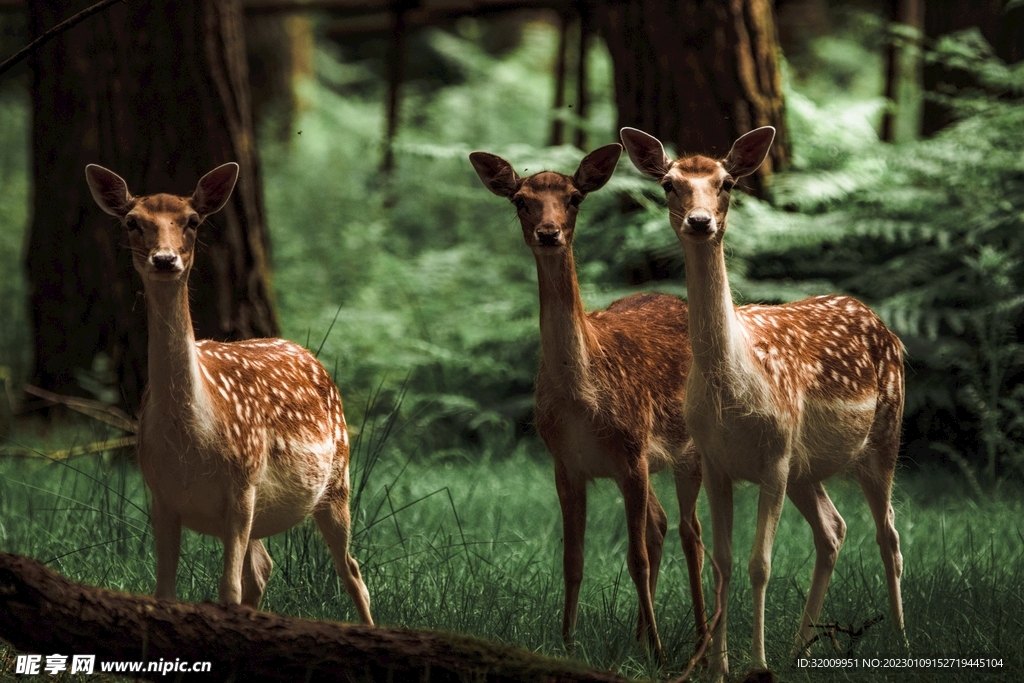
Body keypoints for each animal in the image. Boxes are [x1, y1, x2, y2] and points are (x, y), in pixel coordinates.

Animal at [84, 162, 373, 623]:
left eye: (192, 220)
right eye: (132, 221)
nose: (164, 259)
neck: (191, 438)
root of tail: (308, 354)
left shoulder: (242, 482)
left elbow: (228, 589)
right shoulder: (160, 495)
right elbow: (164, 591)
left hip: (338, 479)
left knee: (351, 570)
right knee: (265, 568)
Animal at [469, 144, 707, 659]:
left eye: (574, 197)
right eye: (520, 200)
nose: (548, 232)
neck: (582, 400)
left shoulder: (632, 453)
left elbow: (635, 558)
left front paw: (661, 652)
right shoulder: (567, 463)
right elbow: (572, 558)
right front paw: (566, 641)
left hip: (688, 449)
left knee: (690, 533)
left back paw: (697, 638)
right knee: (660, 525)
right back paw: (640, 637)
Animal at [619, 126, 906, 680]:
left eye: (727, 182)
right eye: (668, 183)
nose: (700, 221)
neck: (733, 388)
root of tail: (884, 325)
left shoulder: (773, 455)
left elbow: (760, 564)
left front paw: (756, 664)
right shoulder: (715, 461)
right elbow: (723, 563)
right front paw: (718, 668)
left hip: (883, 435)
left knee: (889, 536)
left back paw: (901, 644)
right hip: (806, 466)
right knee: (834, 530)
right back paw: (799, 650)